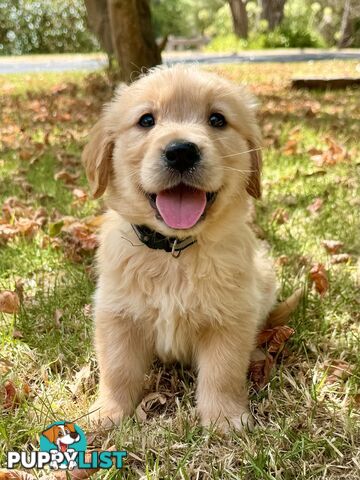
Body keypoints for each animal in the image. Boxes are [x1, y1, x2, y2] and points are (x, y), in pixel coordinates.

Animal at [83, 63, 278, 432]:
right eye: (146, 120)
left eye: (217, 119)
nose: (181, 151)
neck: (174, 251)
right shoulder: (116, 315)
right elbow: (117, 369)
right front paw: (107, 413)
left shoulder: (231, 318)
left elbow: (223, 372)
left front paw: (224, 417)